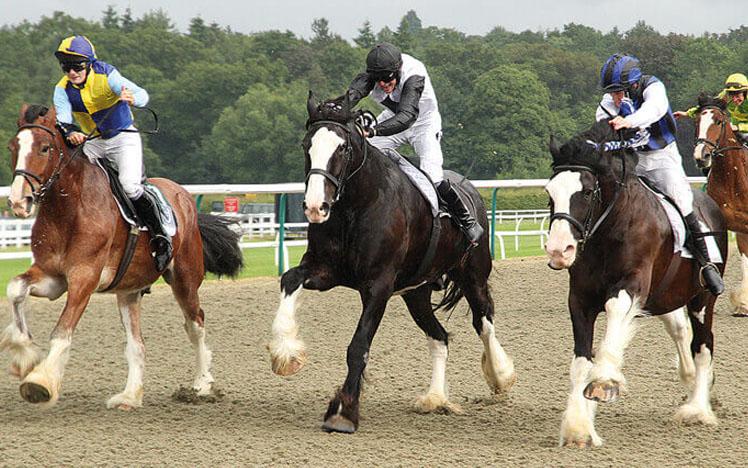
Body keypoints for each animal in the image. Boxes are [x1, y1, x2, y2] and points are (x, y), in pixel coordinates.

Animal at [2, 104, 243, 408]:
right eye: (13, 146)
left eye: (44, 148)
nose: (18, 201)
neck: (69, 211)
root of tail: (184, 196)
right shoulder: (52, 276)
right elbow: (15, 288)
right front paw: (24, 355)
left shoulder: (84, 278)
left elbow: (63, 330)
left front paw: (40, 383)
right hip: (128, 290)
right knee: (137, 343)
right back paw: (130, 395)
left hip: (185, 279)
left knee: (195, 323)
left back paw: (201, 385)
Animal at [267, 93, 516, 433]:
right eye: (307, 144)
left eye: (342, 147)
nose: (316, 206)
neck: (357, 205)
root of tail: (469, 190)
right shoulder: (323, 270)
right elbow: (290, 278)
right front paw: (285, 353)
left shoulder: (378, 286)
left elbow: (358, 347)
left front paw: (343, 412)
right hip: (416, 292)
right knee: (440, 337)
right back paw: (434, 397)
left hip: (473, 276)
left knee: (484, 323)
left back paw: (500, 376)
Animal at [545, 120, 727, 447]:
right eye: (550, 192)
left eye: (587, 191)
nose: (558, 251)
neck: (610, 228)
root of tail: (711, 204)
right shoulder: (580, 299)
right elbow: (581, 361)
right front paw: (579, 427)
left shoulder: (631, 286)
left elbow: (615, 312)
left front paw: (604, 381)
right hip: (665, 298)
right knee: (679, 330)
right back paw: (690, 379)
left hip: (703, 300)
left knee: (702, 345)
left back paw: (696, 409)